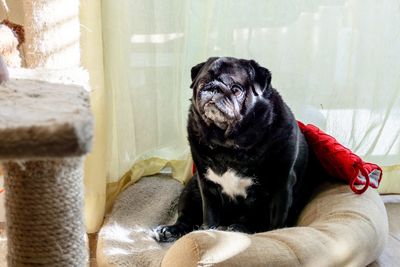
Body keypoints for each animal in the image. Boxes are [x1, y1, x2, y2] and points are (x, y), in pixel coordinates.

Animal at [152, 56, 322, 243]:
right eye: (203, 82)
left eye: (236, 90)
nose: (213, 87)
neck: (227, 145)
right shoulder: (206, 186)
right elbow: (209, 215)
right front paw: (206, 232)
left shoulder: (281, 187)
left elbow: (276, 222)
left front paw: (274, 235)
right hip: (191, 189)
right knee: (186, 218)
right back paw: (170, 230)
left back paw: (238, 228)